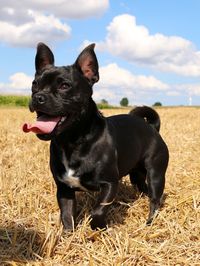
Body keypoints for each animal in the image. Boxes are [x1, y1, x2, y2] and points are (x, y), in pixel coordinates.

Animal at [23, 42, 169, 230]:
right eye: (34, 84)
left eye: (65, 86)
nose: (38, 97)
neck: (72, 141)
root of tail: (152, 128)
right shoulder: (64, 190)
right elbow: (67, 215)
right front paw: (68, 235)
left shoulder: (109, 184)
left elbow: (98, 211)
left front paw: (98, 229)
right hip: (136, 175)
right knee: (143, 189)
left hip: (155, 174)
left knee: (155, 199)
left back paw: (149, 222)